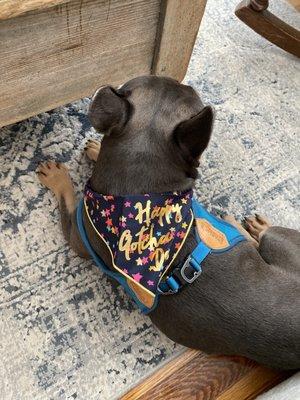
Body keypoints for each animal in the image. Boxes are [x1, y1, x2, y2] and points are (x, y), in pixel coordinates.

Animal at [38, 76, 300, 370]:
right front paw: (93, 150)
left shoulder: (76, 234)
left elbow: (67, 196)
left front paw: (58, 176)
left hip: (279, 239)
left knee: (262, 235)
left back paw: (248, 225)